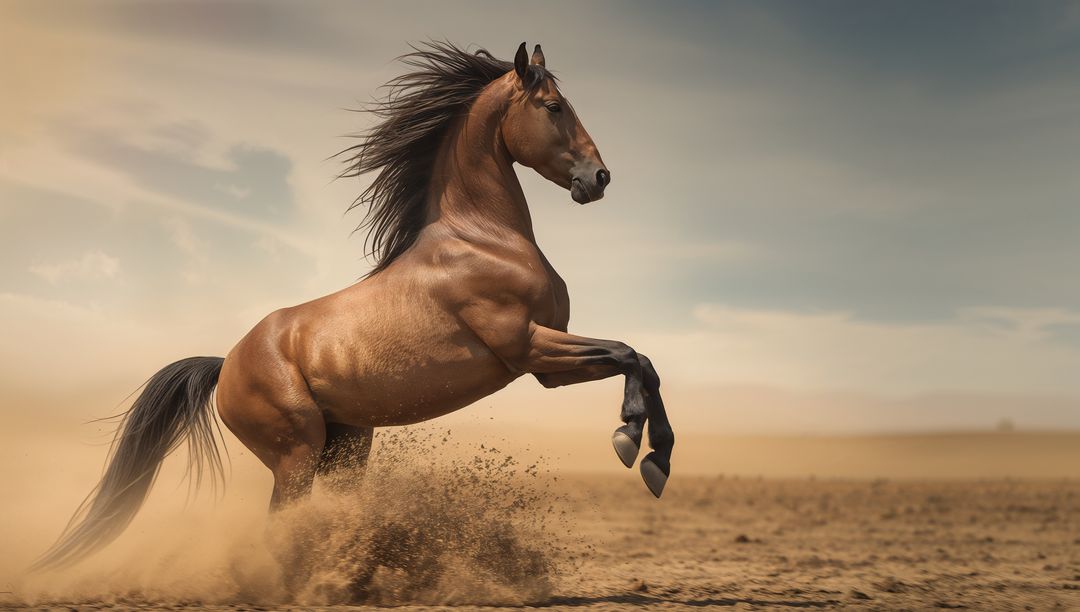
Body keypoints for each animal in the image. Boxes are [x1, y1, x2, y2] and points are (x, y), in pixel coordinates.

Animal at [35, 41, 675, 570]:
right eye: (553, 106)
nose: (600, 177)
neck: (484, 238)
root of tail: (225, 365)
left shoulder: (547, 367)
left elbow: (644, 363)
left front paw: (656, 462)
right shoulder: (530, 349)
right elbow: (629, 354)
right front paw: (628, 439)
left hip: (344, 449)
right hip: (296, 453)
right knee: (279, 529)